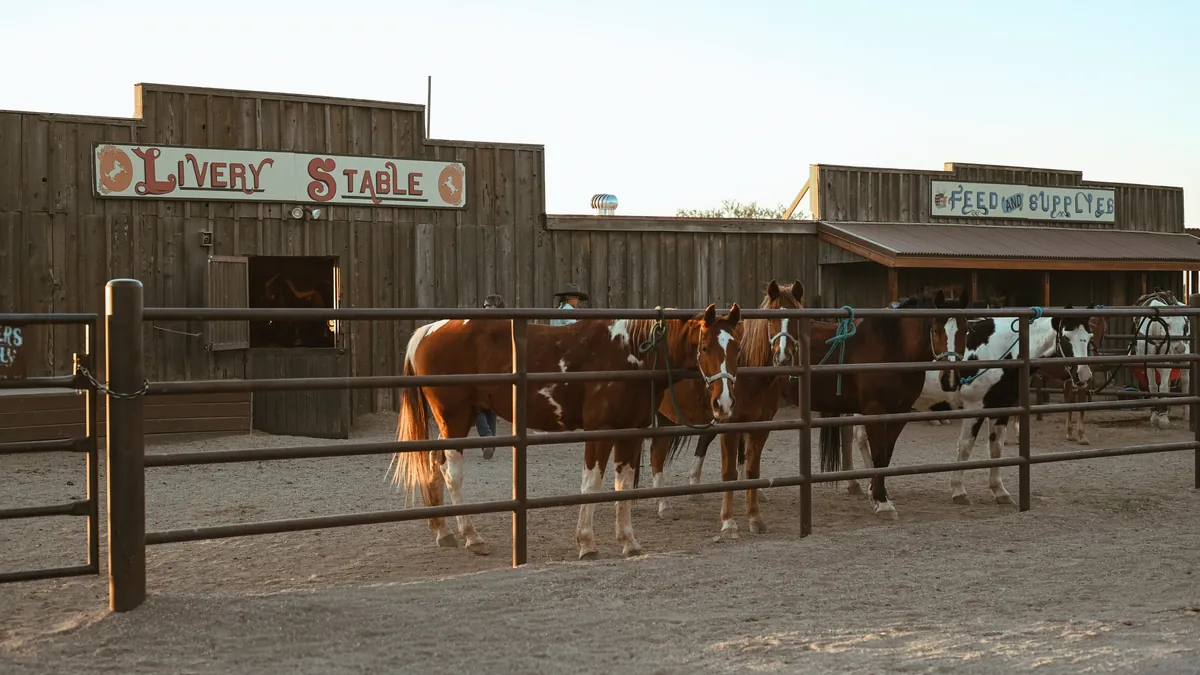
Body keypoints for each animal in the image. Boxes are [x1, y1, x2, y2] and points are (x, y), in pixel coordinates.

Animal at [391, 304, 743, 560]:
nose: (724, 402)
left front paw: (629, 541)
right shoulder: (600, 432)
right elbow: (592, 485)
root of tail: (427, 331)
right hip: (455, 419)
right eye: (705, 346)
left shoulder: (631, 433)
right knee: (451, 473)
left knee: (433, 466)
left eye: (736, 349)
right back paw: (472, 537)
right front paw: (586, 543)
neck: (631, 353)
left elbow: (623, 486)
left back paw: (443, 531)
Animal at [646, 279, 805, 539]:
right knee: (655, 455)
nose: (783, 356)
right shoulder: (729, 426)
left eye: (797, 318)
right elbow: (729, 473)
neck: (751, 374)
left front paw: (755, 518)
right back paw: (662, 506)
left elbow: (752, 470)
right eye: (770, 319)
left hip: (667, 417)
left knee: (657, 452)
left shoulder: (760, 427)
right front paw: (729, 523)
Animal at [806, 289, 964, 519]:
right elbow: (878, 454)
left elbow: (886, 454)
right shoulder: (874, 410)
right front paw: (882, 502)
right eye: (935, 330)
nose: (950, 379)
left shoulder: (900, 411)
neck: (893, 347)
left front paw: (877, 493)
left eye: (966, 330)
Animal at [946, 307, 1095, 505]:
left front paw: (1000, 491)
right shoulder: (973, 406)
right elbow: (965, 446)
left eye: (1089, 337)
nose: (1084, 375)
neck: (996, 350)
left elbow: (996, 448)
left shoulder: (1001, 407)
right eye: (1065, 337)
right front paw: (959, 491)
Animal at [1132, 289, 1191, 429]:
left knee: (1185, 382)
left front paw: (1163, 418)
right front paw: (1155, 416)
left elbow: (1163, 387)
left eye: (1184, 326)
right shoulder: (1148, 362)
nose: (1180, 348)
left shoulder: (1167, 361)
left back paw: (1186, 414)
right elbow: (1153, 387)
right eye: (1167, 324)